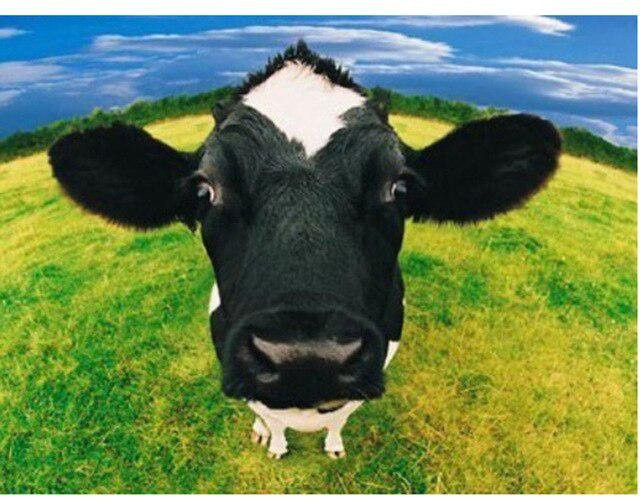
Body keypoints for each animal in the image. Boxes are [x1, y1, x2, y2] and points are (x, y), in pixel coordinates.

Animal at [48, 41, 560, 459]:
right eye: (205, 191)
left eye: (398, 188)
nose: (306, 357)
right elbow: (269, 415)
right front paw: (274, 442)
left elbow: (341, 416)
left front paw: (332, 444)